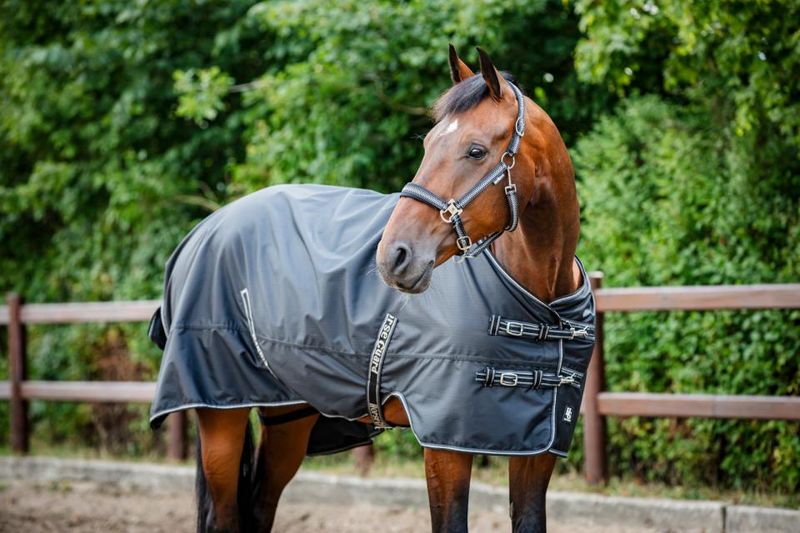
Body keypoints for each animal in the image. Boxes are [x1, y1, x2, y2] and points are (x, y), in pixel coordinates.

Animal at [148, 45, 589, 533]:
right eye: (427, 144)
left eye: (475, 150)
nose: (394, 255)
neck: (539, 301)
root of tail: (202, 231)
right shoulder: (444, 446)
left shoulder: (536, 447)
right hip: (220, 420)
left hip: (289, 419)